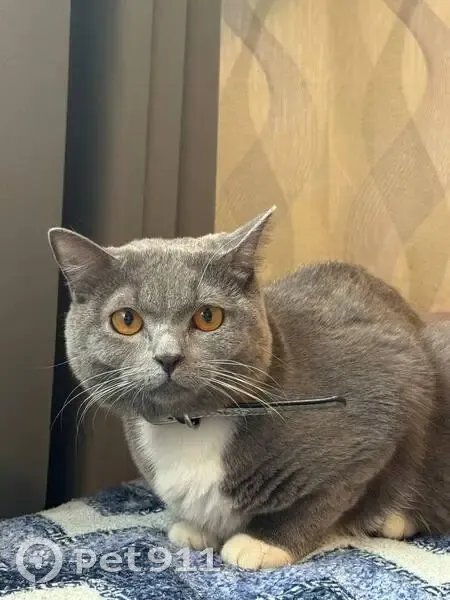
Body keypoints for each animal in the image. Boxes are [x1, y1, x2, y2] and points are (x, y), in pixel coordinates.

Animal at [48, 208, 450, 569]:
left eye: (208, 317)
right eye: (126, 320)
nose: (168, 356)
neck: (191, 425)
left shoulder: (382, 406)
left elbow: (323, 499)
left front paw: (261, 543)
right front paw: (195, 528)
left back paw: (395, 519)